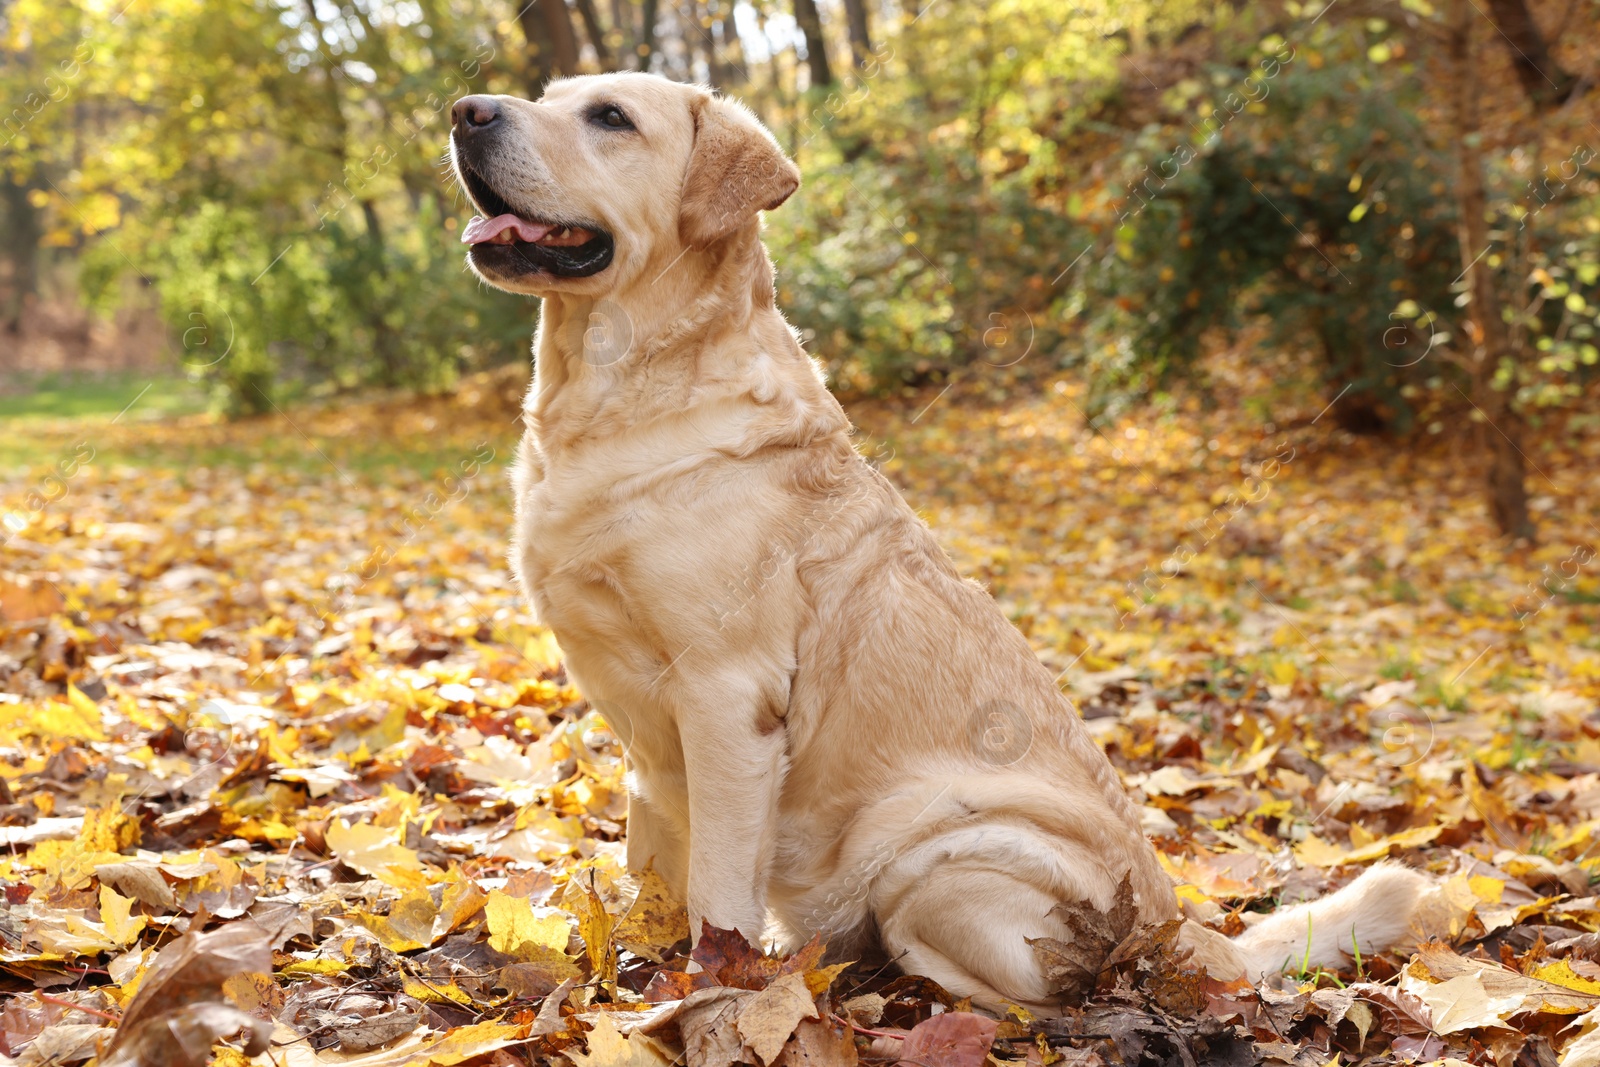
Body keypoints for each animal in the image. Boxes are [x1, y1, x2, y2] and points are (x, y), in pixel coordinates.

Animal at [448, 73, 1427, 1011]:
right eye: (548, 95)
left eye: (610, 117)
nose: (465, 111)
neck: (617, 391)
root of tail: (1184, 925)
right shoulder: (647, 744)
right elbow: (650, 870)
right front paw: (626, 972)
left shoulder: (727, 697)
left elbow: (714, 895)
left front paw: (700, 992)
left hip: (937, 857)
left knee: (1039, 991)